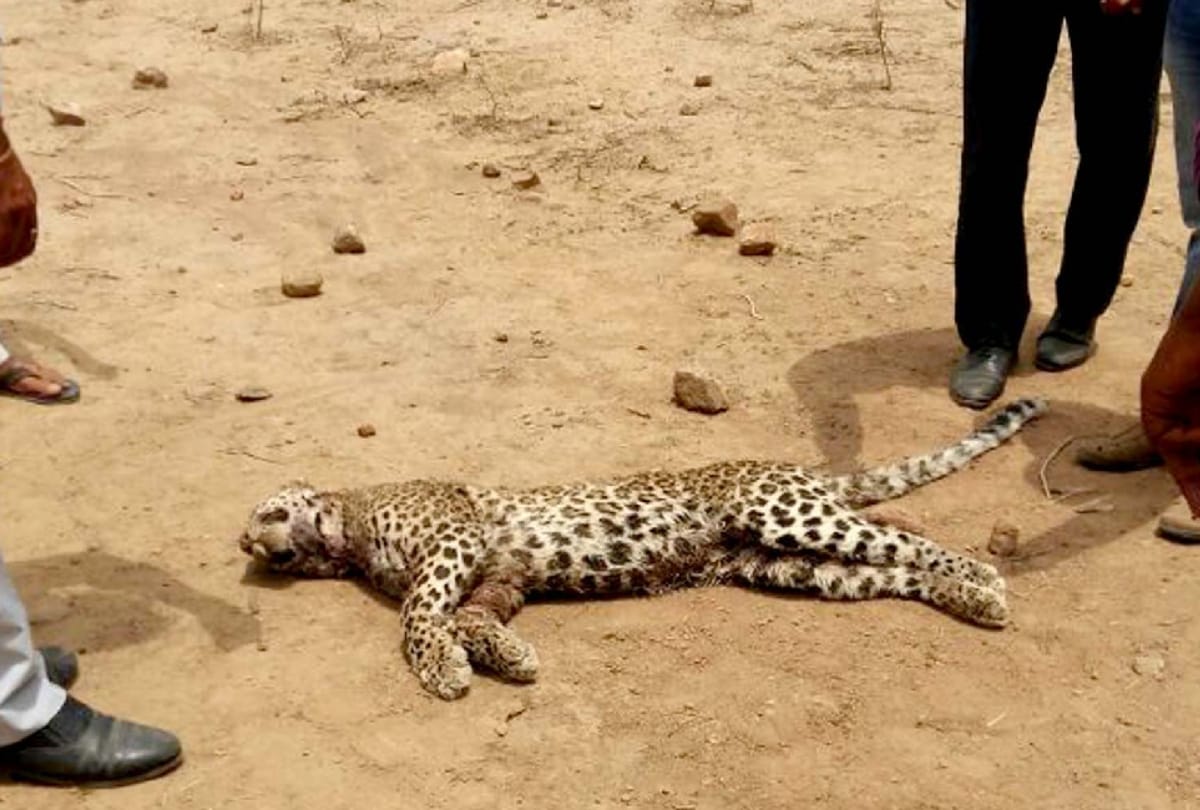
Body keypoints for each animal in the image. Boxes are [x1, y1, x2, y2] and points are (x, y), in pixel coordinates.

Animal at [238, 397, 1046, 700]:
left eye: (267, 513)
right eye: (252, 540)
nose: (258, 545)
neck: (347, 530)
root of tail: (795, 468)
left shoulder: (453, 540)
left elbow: (417, 616)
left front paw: (443, 668)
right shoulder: (498, 579)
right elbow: (470, 617)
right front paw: (506, 656)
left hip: (785, 513)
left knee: (911, 541)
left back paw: (982, 576)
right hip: (784, 564)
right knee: (897, 567)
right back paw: (973, 600)